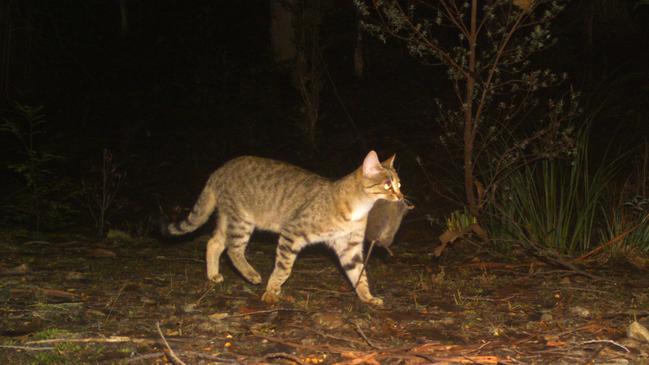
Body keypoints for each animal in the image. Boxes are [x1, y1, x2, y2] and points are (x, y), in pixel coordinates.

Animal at [163, 149, 400, 306]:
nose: (400, 196)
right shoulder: (292, 232)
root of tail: (218, 170)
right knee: (233, 249)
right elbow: (284, 268)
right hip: (241, 220)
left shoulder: (349, 247)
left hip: (227, 218)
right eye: (387, 184)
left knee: (213, 243)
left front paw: (367, 297)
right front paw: (271, 291)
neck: (358, 209)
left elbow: (359, 273)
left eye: (399, 184)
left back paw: (213, 275)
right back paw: (251, 274)